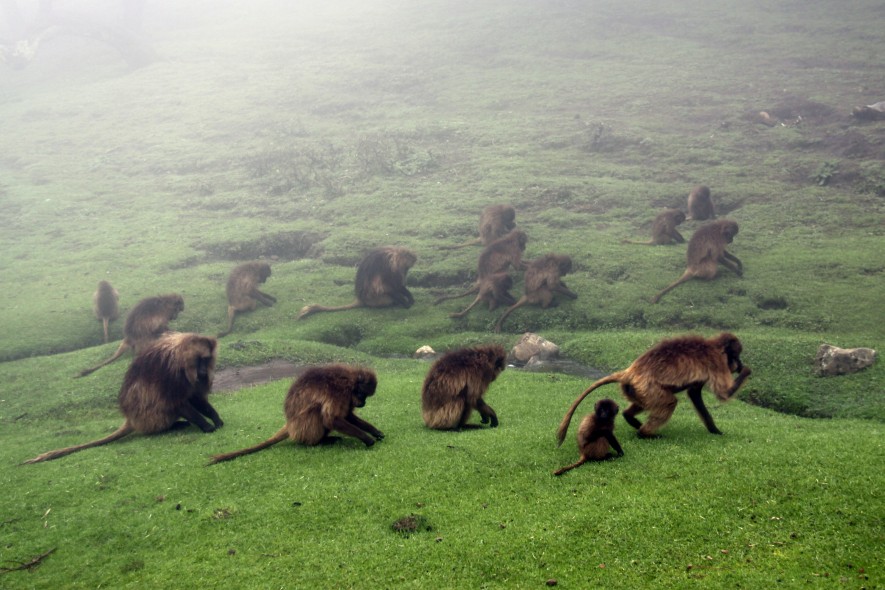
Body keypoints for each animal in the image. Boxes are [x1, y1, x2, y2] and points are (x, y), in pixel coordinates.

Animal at [24, 332, 221, 464]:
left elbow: (195, 397)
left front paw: (216, 419)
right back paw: (172, 426)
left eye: (207, 360)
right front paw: (206, 425)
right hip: (148, 416)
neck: (180, 355)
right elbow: (178, 402)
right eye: (200, 360)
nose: (203, 373)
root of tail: (131, 420)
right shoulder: (171, 373)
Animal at [209, 365, 383, 464]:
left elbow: (346, 416)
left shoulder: (346, 397)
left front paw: (374, 431)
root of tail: (290, 424)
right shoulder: (339, 392)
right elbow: (332, 419)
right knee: (317, 411)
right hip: (302, 427)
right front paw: (367, 438)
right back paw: (318, 442)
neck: (350, 381)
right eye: (362, 395)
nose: (363, 403)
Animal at [556, 332, 752, 442]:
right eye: (736, 356)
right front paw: (747, 371)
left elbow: (694, 393)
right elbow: (723, 394)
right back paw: (644, 433)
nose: (739, 365)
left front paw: (714, 430)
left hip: (635, 389)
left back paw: (631, 418)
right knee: (669, 402)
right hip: (646, 386)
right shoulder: (717, 362)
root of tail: (630, 371)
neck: (714, 346)